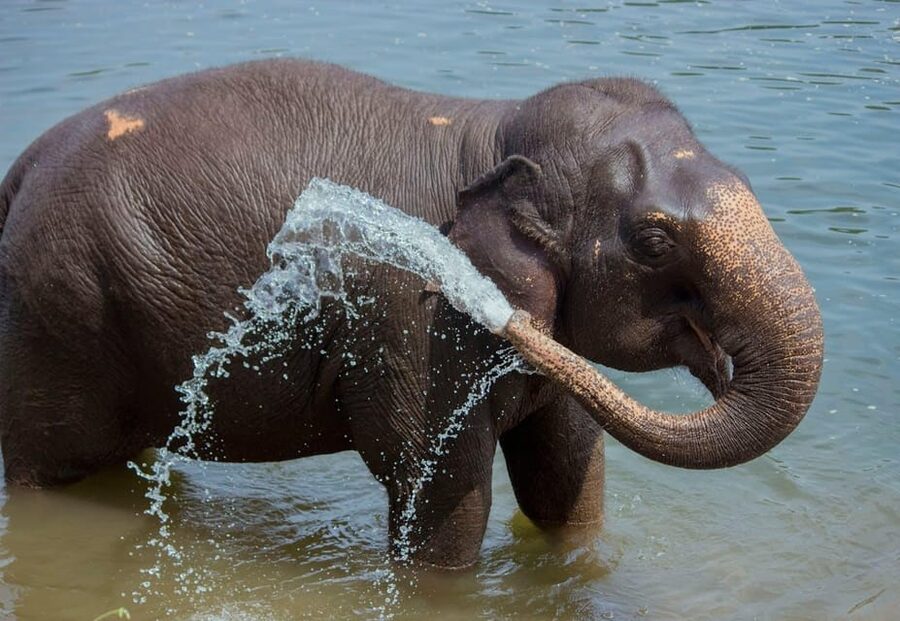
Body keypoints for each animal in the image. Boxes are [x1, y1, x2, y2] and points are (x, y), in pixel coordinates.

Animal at [0, 59, 823, 568]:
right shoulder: (406, 322)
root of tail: (18, 173)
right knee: (42, 469)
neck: (490, 129)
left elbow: (567, 478)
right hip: (58, 321)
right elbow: (443, 502)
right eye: (654, 242)